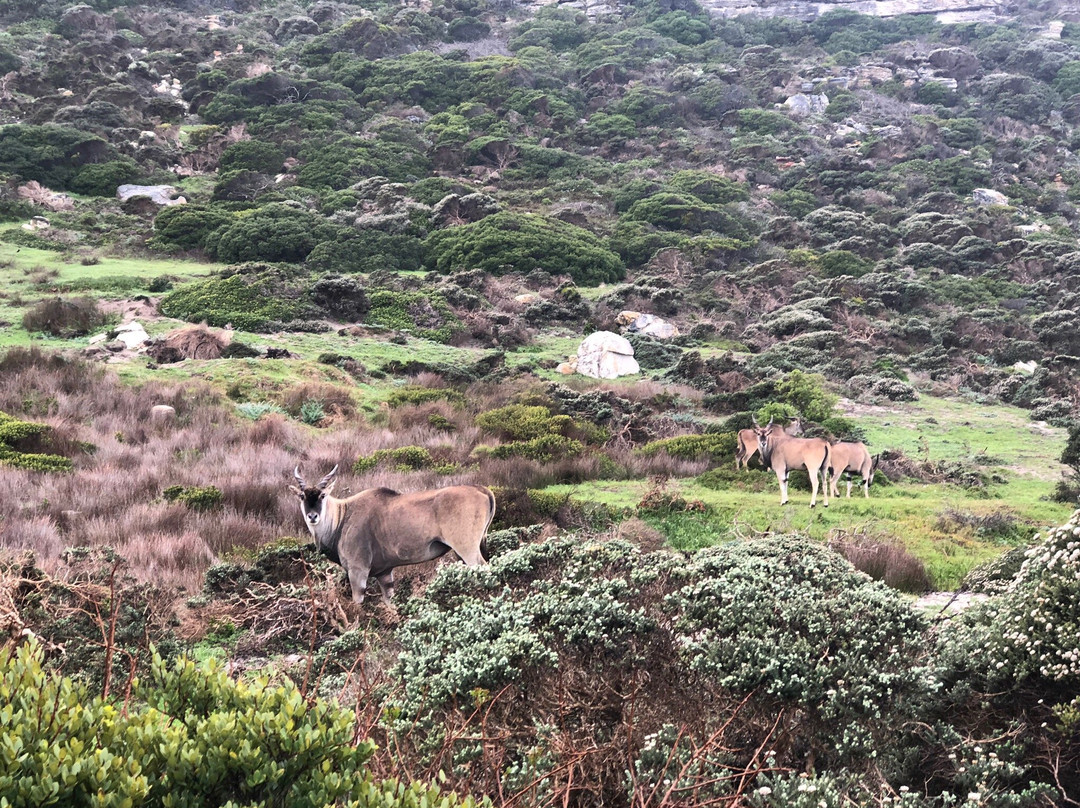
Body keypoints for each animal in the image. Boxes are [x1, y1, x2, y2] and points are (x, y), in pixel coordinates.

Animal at [289, 464, 494, 604]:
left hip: (467, 549)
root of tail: (482, 489)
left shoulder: (357, 571)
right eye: (302, 496)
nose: (312, 516)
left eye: (323, 495)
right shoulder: (385, 575)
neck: (344, 515)